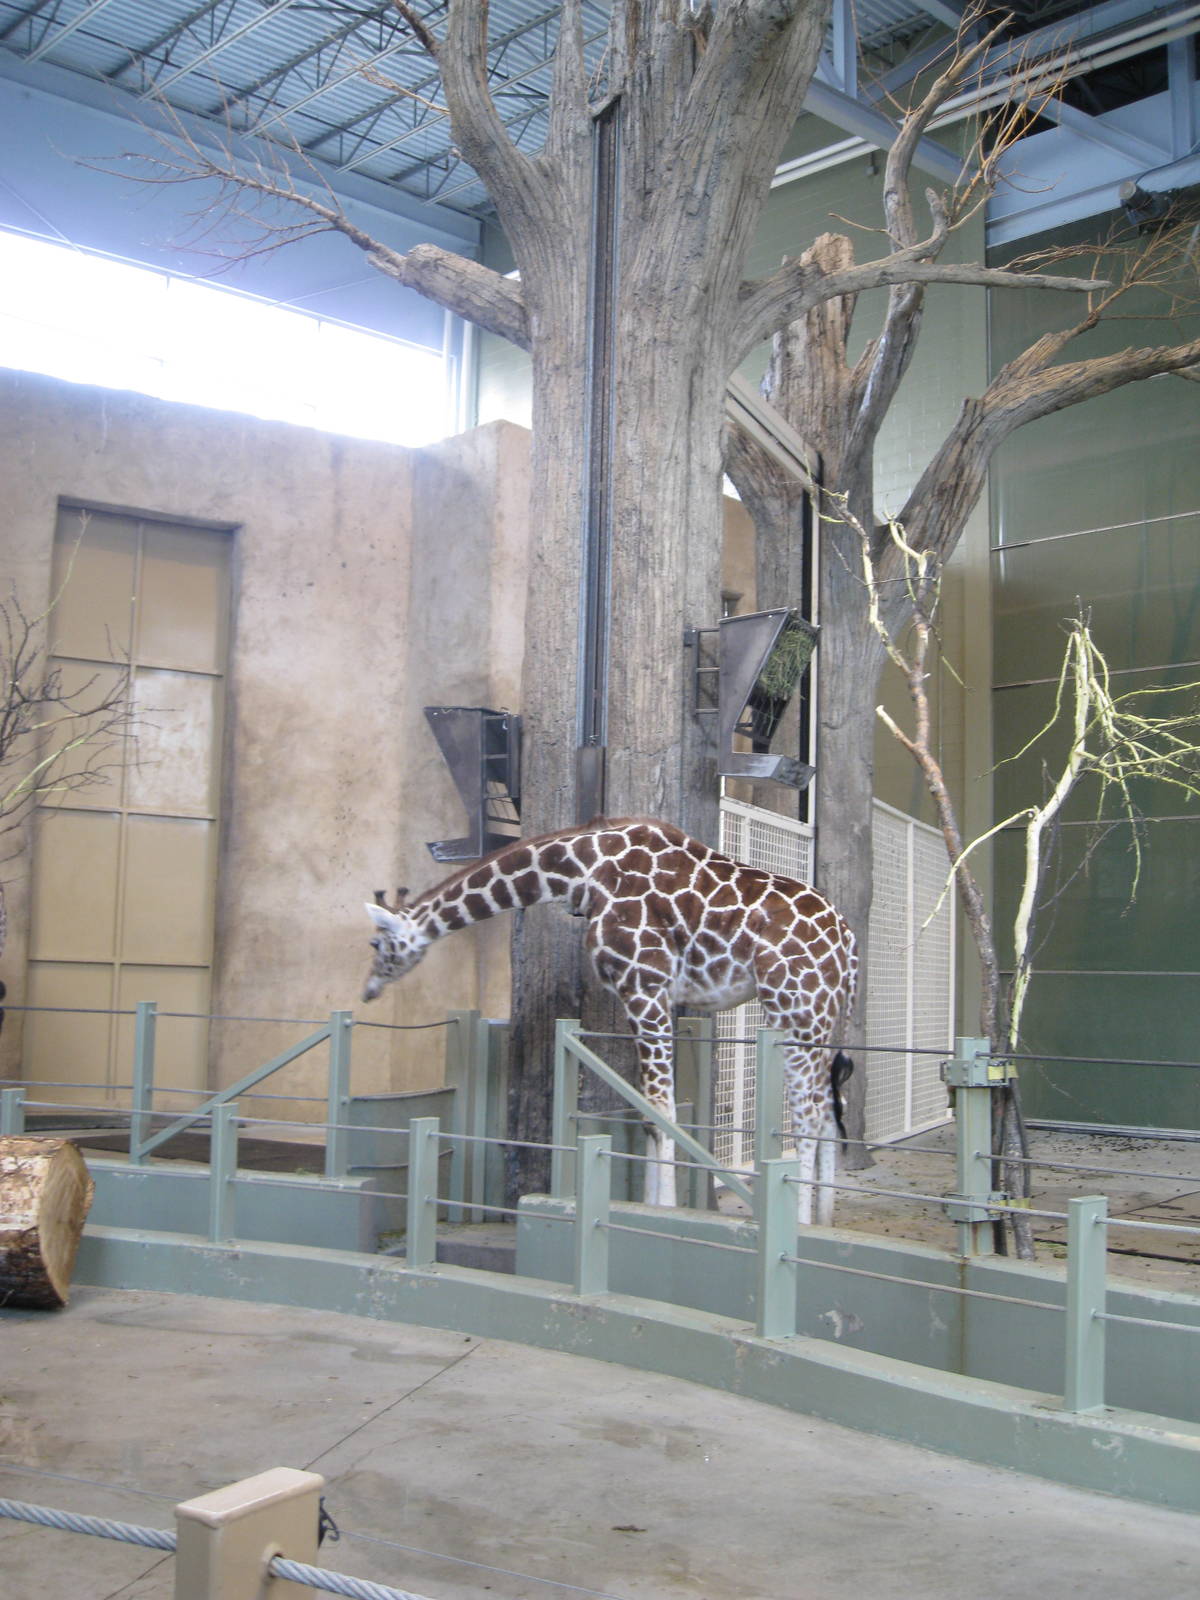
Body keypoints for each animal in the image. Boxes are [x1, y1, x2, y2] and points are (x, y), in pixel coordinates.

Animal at [361, 818, 857, 1224]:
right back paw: (823, 1219)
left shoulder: (644, 985)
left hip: (795, 1008)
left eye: (376, 944)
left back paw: (799, 1223)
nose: (367, 990)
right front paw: (652, 1207)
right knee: (829, 1108)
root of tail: (848, 942)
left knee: (808, 1113)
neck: (582, 871)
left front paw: (663, 1213)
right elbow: (649, 1114)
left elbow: (661, 1113)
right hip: (822, 1016)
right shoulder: (660, 996)